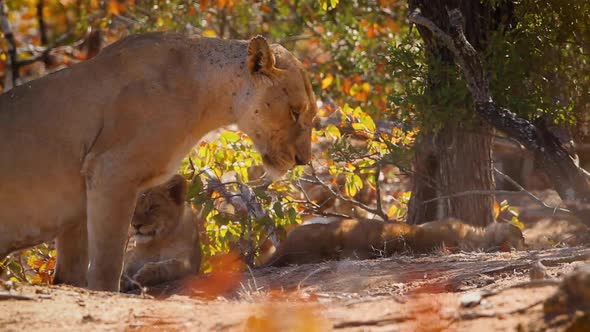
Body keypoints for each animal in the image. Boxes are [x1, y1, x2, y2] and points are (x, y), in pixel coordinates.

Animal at [1, 31, 320, 290]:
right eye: (294, 111)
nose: (302, 159)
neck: (207, 95)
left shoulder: (79, 205)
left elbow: (70, 276)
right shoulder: (110, 170)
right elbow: (106, 267)